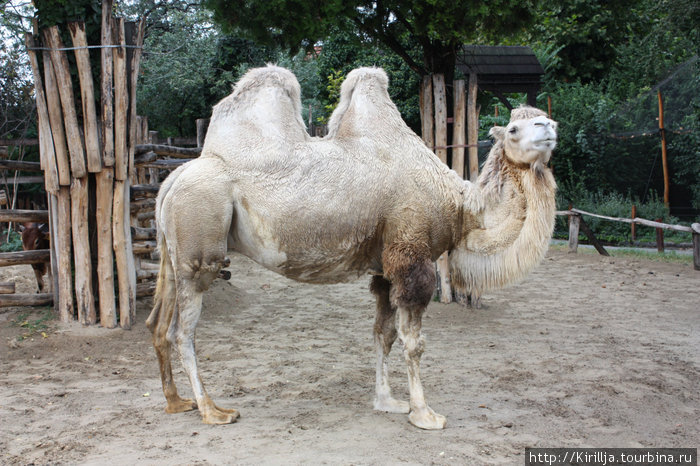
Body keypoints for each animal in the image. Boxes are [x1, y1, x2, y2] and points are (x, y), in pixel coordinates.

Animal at [146, 65, 556, 430]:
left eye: (541, 119)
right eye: (514, 129)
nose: (549, 127)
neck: (461, 205)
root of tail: (172, 178)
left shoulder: (386, 267)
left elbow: (382, 334)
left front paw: (387, 401)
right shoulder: (413, 257)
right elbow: (413, 342)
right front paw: (424, 414)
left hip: (174, 252)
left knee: (159, 321)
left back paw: (176, 402)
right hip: (200, 247)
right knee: (183, 331)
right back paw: (213, 411)